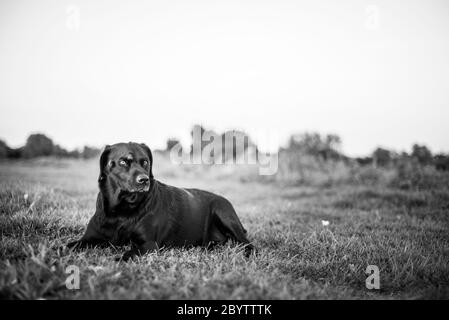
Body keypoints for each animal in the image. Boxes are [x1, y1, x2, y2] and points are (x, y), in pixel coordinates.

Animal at [68, 142, 254, 260]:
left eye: (145, 162)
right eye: (123, 161)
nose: (144, 180)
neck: (121, 210)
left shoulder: (148, 245)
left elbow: (127, 254)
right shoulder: (90, 238)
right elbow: (69, 245)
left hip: (222, 211)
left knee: (248, 243)